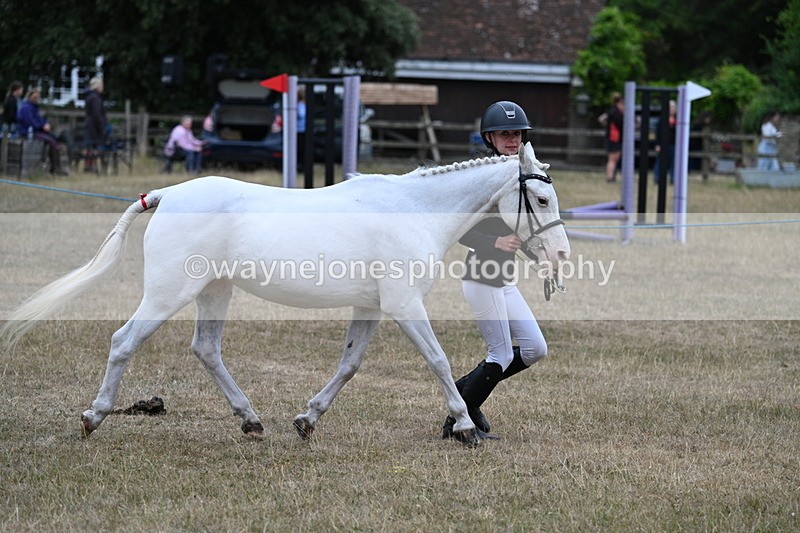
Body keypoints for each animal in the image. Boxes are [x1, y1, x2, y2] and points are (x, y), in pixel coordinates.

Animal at [0, 142, 570, 446]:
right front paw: (465, 427)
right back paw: (93, 417)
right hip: (169, 292)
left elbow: (349, 364)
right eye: (540, 199)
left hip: (214, 290)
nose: (561, 256)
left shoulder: (371, 307)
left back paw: (252, 420)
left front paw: (307, 419)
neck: (412, 211)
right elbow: (437, 360)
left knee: (206, 349)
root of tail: (166, 195)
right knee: (124, 342)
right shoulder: (405, 306)